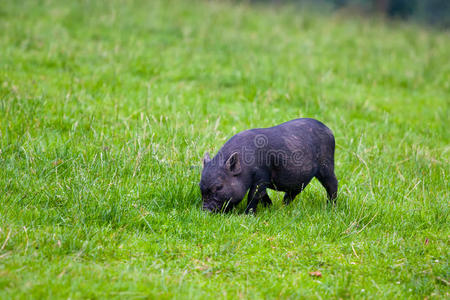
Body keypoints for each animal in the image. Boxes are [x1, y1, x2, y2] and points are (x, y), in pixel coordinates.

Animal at [200, 118, 338, 213]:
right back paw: (283, 208)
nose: (205, 210)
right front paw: (269, 207)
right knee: (293, 192)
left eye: (219, 187)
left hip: (327, 164)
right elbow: (263, 195)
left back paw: (331, 208)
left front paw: (247, 215)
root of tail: (329, 130)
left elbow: (255, 195)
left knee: (332, 184)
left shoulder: (261, 175)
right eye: (200, 187)